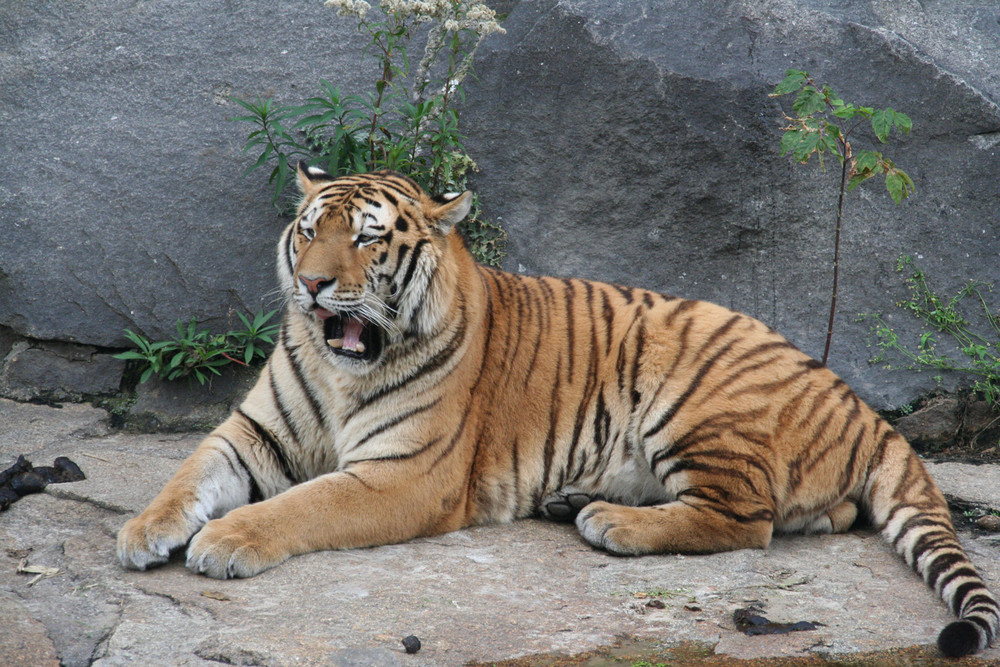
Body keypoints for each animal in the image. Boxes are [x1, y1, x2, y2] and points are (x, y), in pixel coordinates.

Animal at [119, 166, 1000, 656]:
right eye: (308, 232)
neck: (345, 369)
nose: (311, 285)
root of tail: (860, 402)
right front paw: (141, 530)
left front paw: (224, 539)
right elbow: (188, 472)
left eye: (366, 240)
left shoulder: (403, 474)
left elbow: (302, 504)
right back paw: (575, 497)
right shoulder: (254, 432)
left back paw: (609, 521)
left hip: (692, 399)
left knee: (745, 520)